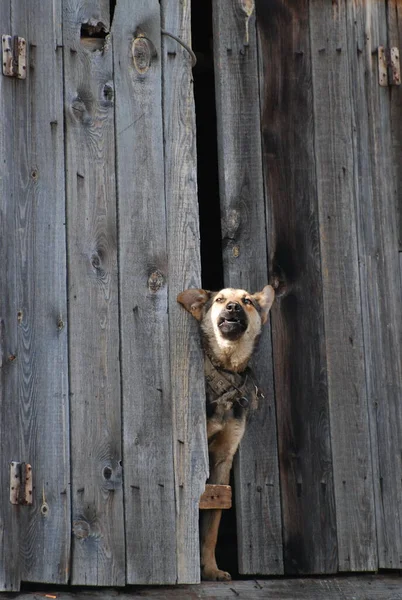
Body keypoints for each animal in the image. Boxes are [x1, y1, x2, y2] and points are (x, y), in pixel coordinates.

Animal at [177, 286, 274, 580]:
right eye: (220, 299)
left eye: (248, 301)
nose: (233, 307)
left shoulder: (223, 459)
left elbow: (213, 520)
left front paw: (210, 569)